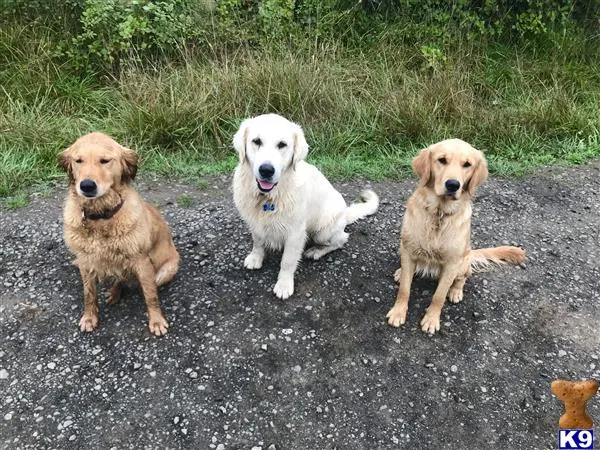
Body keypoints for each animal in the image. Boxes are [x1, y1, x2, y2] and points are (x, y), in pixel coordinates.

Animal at [59, 132, 179, 336]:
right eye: (78, 160)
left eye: (105, 160)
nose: (87, 185)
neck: (101, 217)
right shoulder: (85, 261)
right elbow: (89, 294)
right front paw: (89, 318)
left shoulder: (141, 261)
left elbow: (151, 295)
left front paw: (156, 321)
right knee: (119, 279)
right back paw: (114, 293)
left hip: (166, 270)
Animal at [386, 140, 524, 334]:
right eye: (442, 160)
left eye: (467, 164)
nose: (453, 185)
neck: (438, 213)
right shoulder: (408, 249)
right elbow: (404, 289)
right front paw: (398, 313)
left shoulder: (452, 264)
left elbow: (439, 296)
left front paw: (431, 319)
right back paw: (401, 272)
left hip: (463, 262)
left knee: (463, 278)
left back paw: (456, 291)